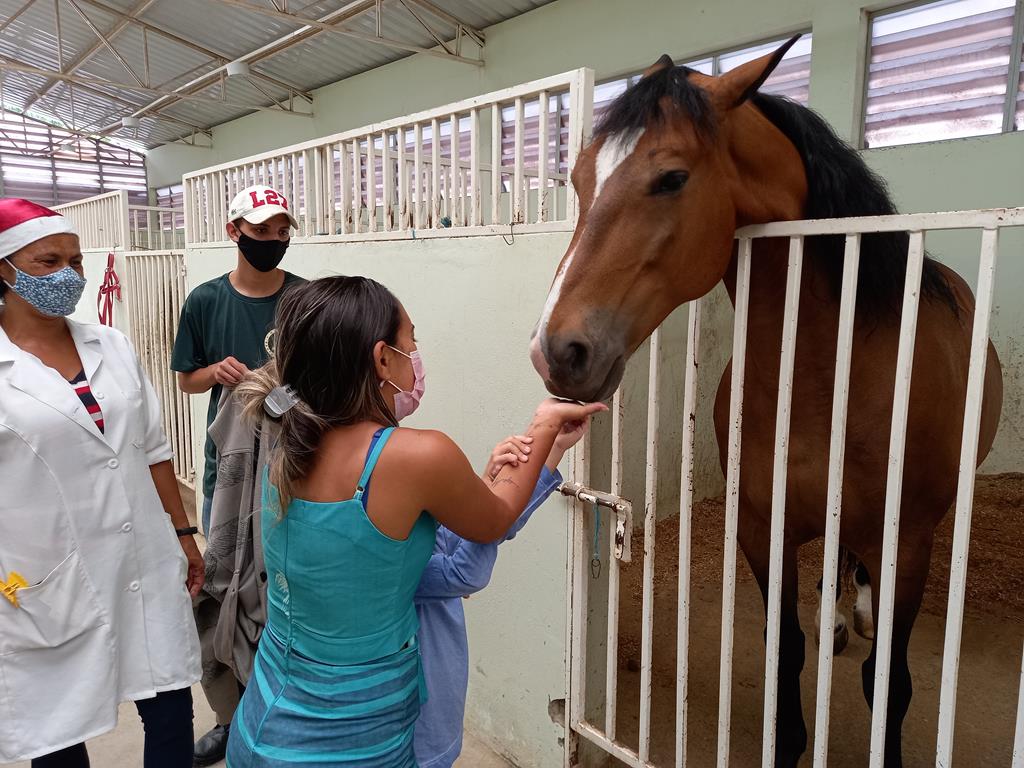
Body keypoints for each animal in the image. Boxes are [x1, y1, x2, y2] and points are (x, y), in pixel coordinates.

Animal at [532, 37, 1003, 768]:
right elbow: (785, 659)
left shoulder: (907, 540)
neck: (827, 376)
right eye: (581, 182)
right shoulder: (762, 530)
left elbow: (888, 681)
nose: (558, 351)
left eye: (672, 178)